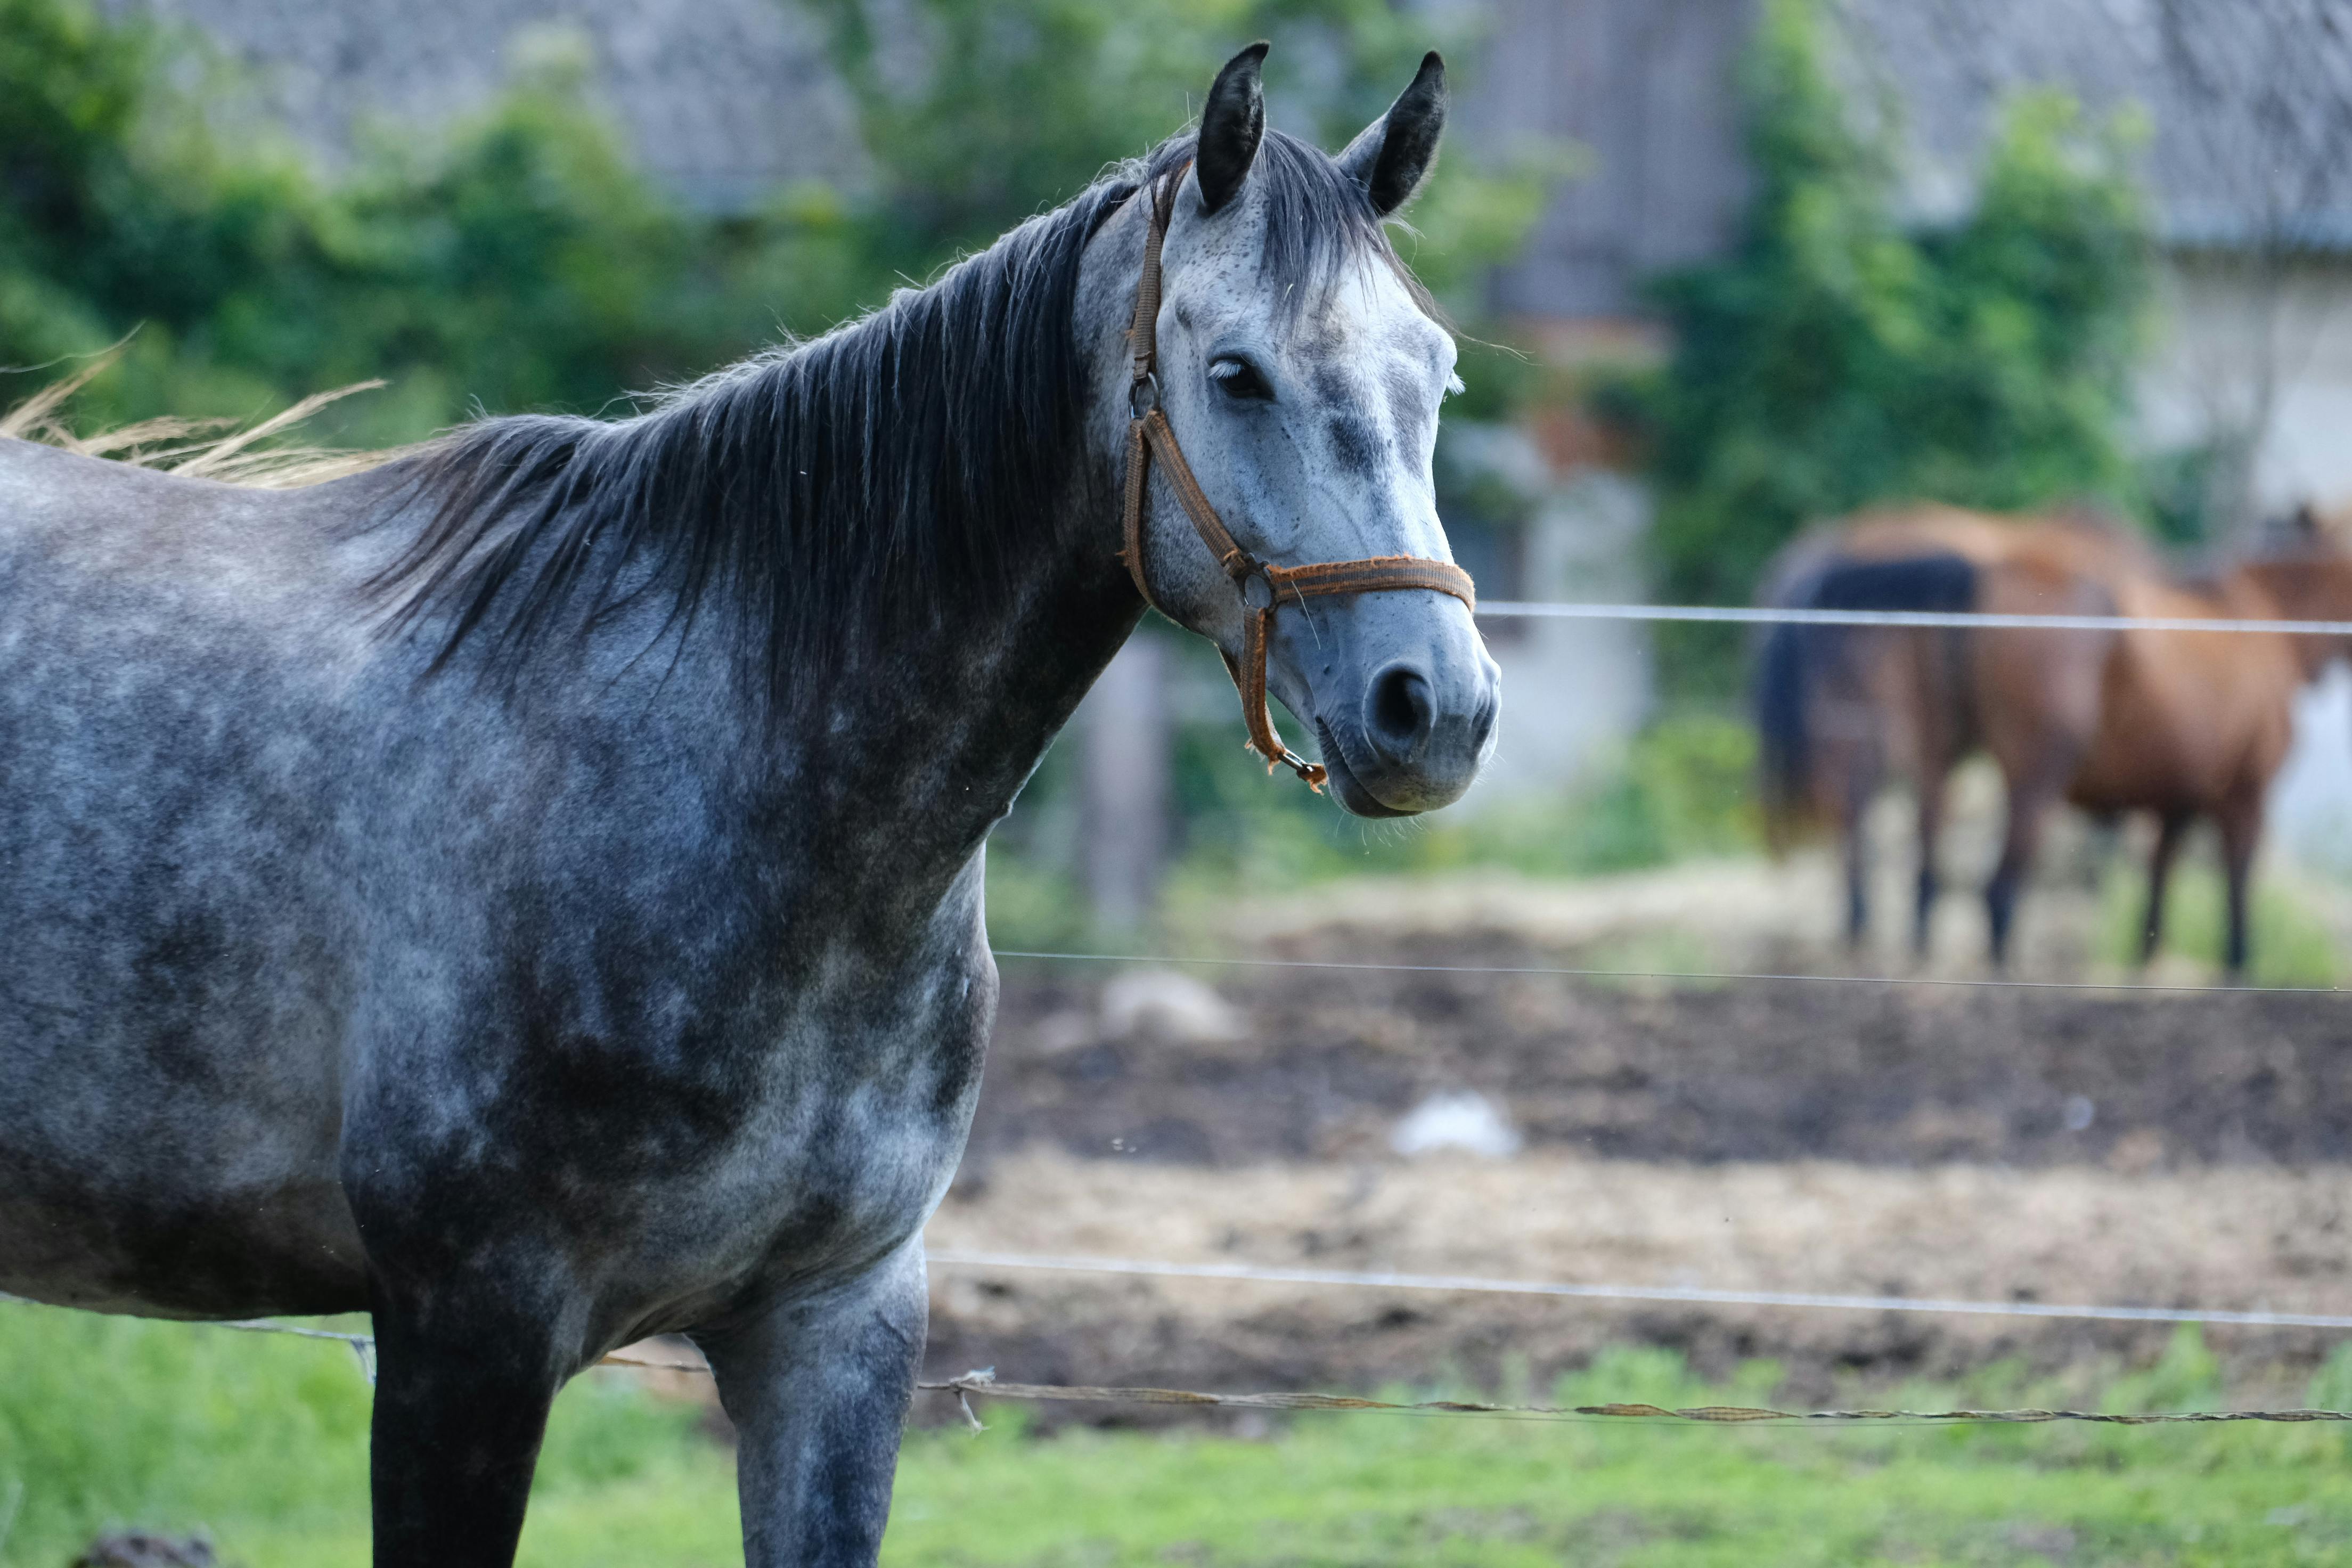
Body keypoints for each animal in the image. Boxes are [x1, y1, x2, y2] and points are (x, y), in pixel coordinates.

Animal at [1756, 502, 2352, 975]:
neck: (2260, 617)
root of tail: (1980, 571)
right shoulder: (2245, 795)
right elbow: (2237, 906)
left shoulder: (2175, 802)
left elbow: (2156, 901)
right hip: (2031, 775)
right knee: (1992, 890)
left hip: (1938, 750)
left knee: (1922, 860)